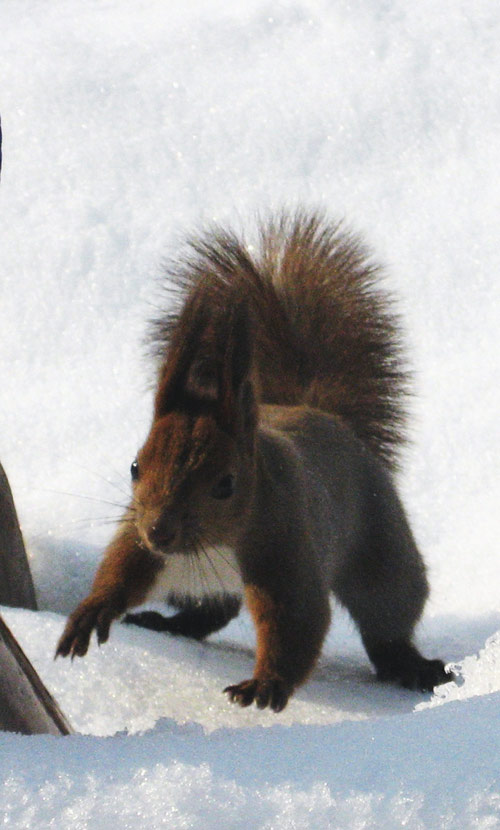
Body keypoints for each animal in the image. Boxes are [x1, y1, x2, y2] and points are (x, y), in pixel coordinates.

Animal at [55, 211, 454, 712]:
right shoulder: (139, 539)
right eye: (134, 467)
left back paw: (410, 665)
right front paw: (91, 611)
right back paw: (166, 623)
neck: (214, 542)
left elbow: (298, 621)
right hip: (190, 581)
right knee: (210, 612)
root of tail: (324, 416)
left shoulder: (283, 544)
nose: (161, 531)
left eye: (226, 484)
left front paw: (266, 684)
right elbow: (121, 571)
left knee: (388, 619)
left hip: (382, 549)